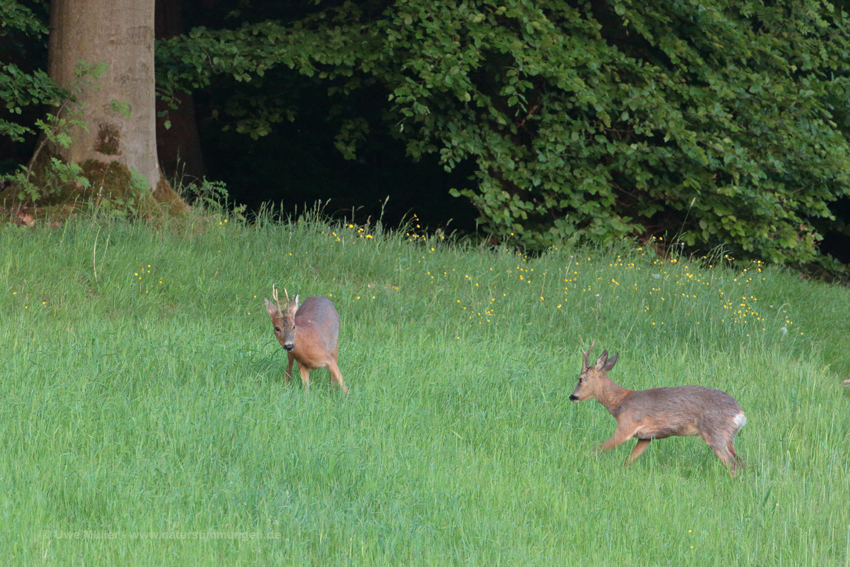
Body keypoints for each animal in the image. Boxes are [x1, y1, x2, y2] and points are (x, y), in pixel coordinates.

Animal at [568, 342, 744, 474]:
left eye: (581, 379)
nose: (572, 396)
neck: (619, 403)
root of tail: (741, 415)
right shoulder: (645, 437)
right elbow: (629, 460)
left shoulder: (626, 426)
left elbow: (597, 448)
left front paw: (582, 459)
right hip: (729, 437)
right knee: (741, 462)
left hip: (716, 433)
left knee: (732, 464)